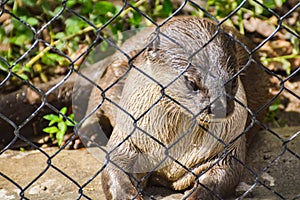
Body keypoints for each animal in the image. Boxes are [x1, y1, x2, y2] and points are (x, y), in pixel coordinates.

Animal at [83, 16, 268, 198]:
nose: (220, 107)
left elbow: (223, 176)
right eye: (192, 83)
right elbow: (114, 168)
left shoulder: (228, 148)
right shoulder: (128, 137)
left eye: (233, 80)